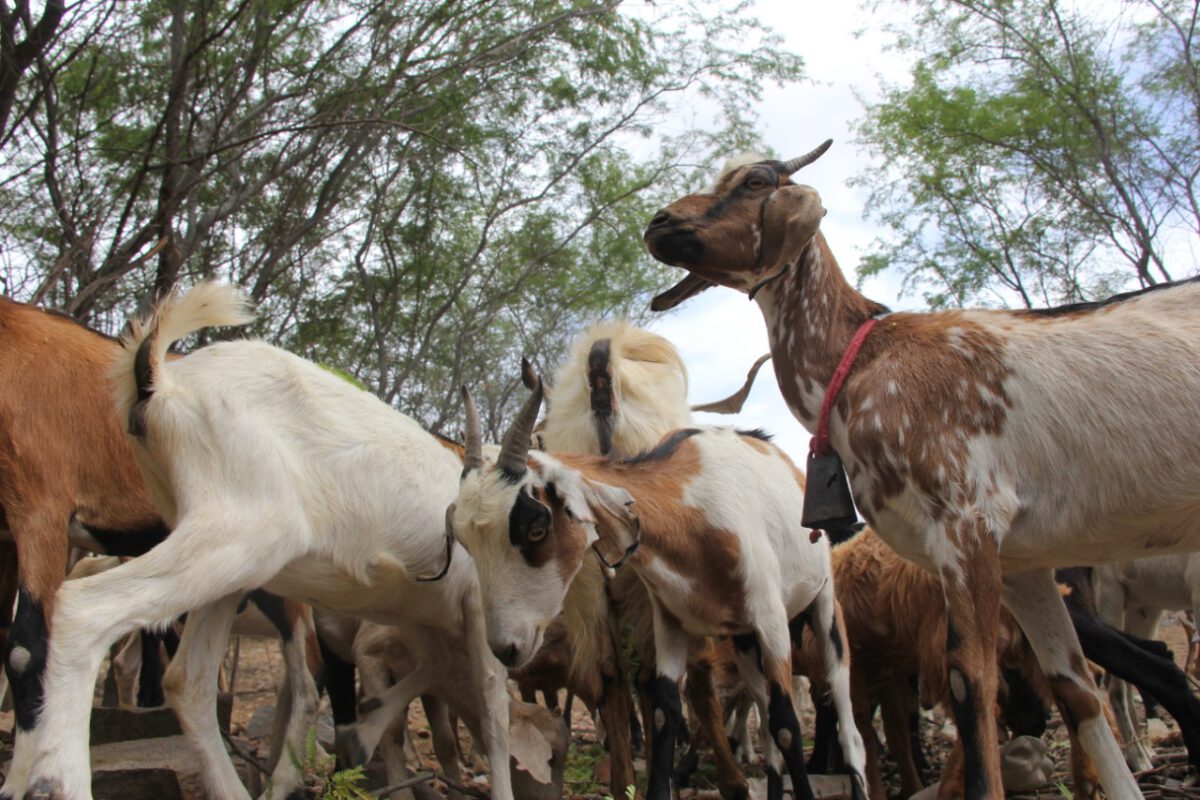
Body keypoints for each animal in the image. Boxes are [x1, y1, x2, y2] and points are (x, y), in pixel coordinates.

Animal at [15, 284, 511, 800]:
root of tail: (160, 383)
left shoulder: (423, 618)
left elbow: (436, 672)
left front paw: (365, 734)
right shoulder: (480, 607)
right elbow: (492, 709)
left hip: (225, 564)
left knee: (187, 680)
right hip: (243, 532)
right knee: (87, 609)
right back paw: (57, 779)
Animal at [446, 376, 868, 800]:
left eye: (536, 526)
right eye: (465, 540)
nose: (506, 647)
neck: (692, 516)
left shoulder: (771, 621)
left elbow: (786, 725)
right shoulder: (671, 624)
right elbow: (666, 712)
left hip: (823, 609)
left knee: (843, 722)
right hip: (744, 641)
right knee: (763, 718)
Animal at [643, 145, 1200, 800]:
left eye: (755, 181)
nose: (658, 224)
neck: (864, 357)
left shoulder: (966, 523)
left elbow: (968, 680)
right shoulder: (1021, 563)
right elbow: (1075, 690)